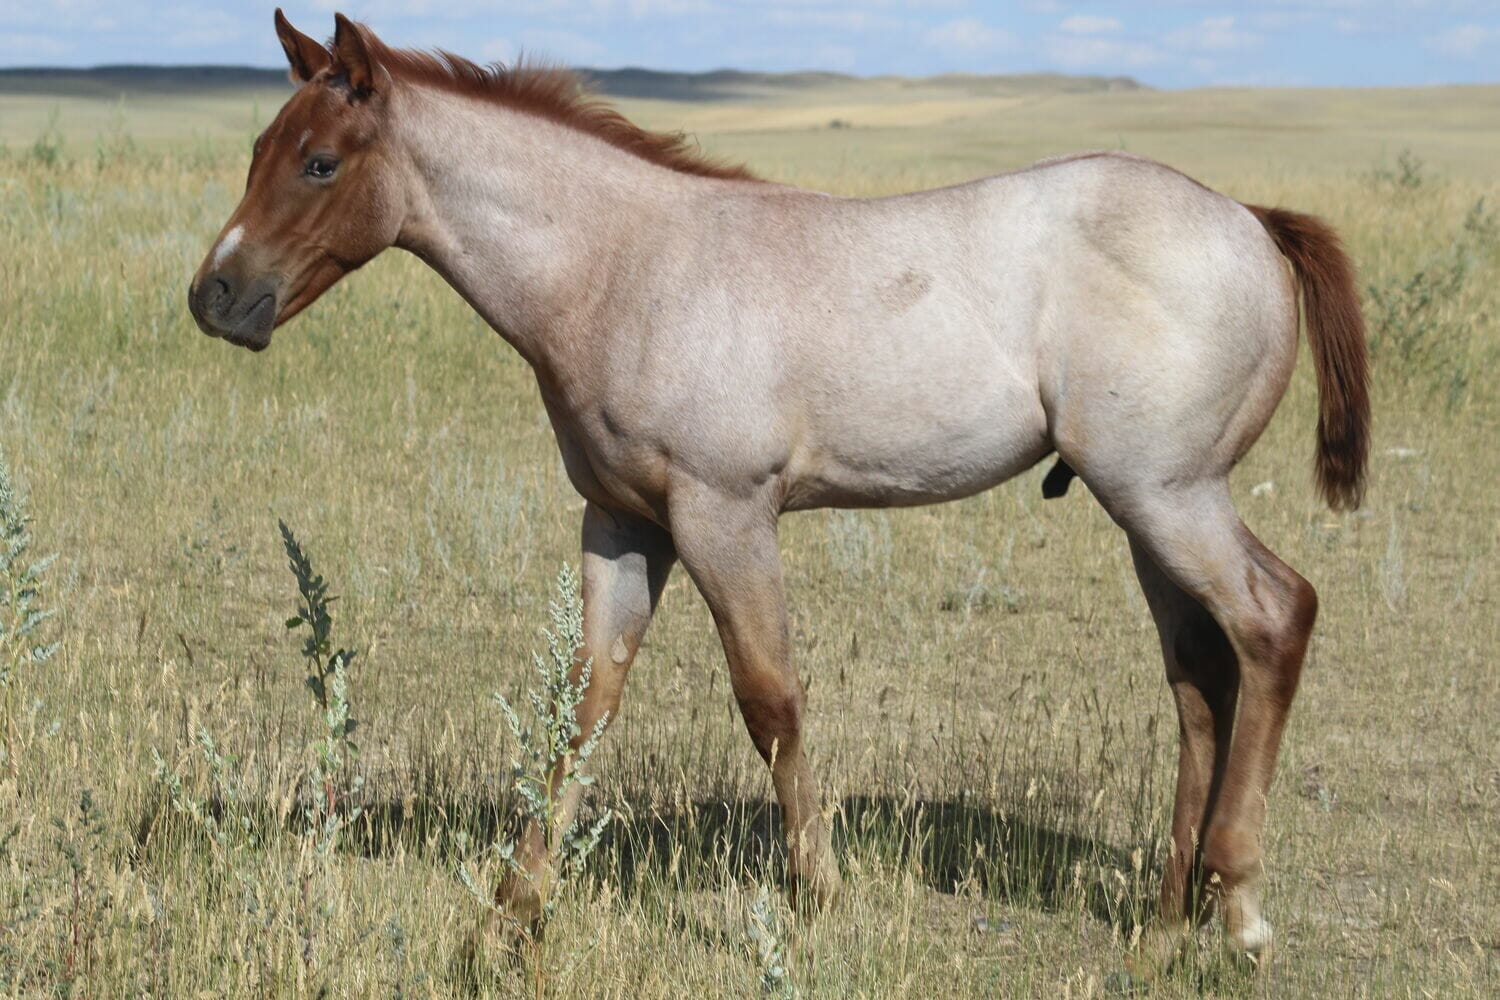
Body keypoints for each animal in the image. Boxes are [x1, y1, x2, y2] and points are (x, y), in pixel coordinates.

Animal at [190, 11, 1370, 975]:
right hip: (1143, 514)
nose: (215, 296)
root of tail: (1250, 218)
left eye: (319, 162)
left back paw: (1240, 910)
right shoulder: (624, 525)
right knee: (1200, 677)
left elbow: (772, 702)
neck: (625, 268)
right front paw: (507, 920)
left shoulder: (725, 516)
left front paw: (817, 895)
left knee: (1275, 619)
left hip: (1170, 495)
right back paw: (1168, 920)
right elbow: (580, 706)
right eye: (256, 152)